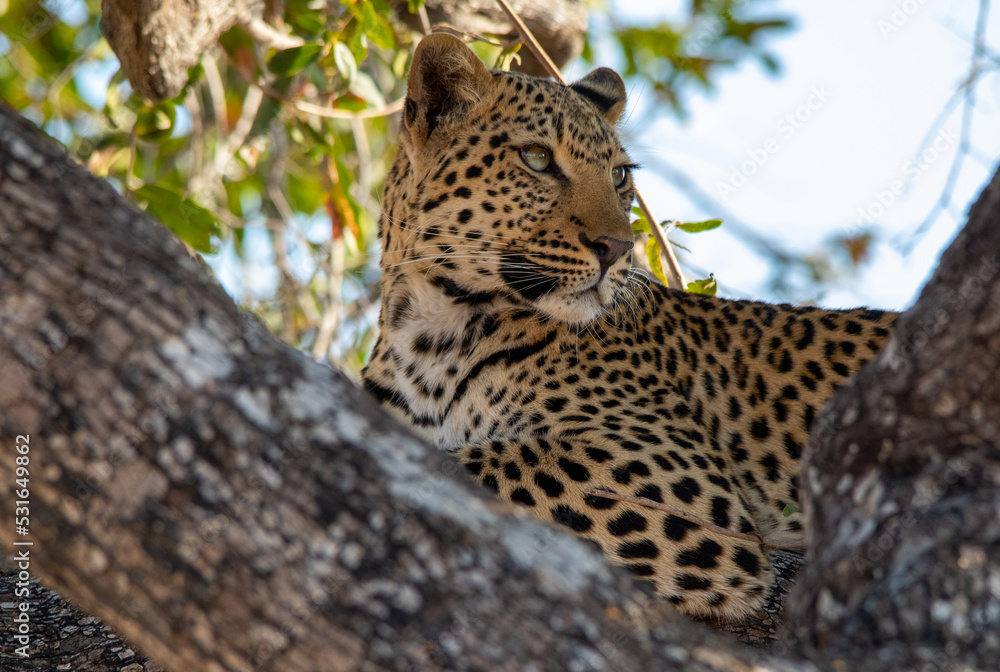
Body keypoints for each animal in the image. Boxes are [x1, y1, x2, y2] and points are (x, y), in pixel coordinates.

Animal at [361, 33, 896, 621]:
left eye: (619, 175)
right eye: (536, 158)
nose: (619, 248)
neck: (430, 329)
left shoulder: (671, 476)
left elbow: (476, 459)